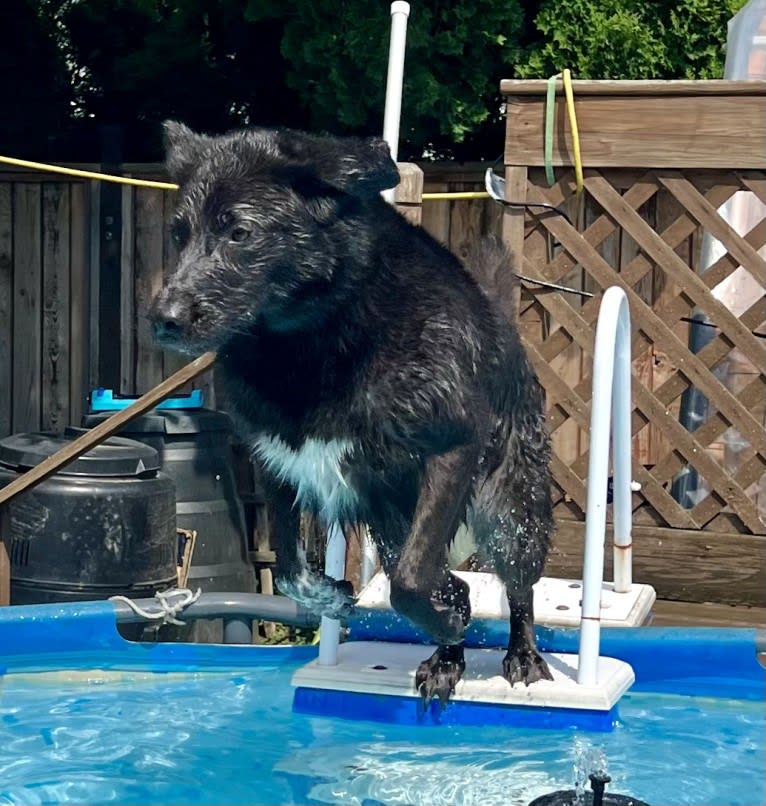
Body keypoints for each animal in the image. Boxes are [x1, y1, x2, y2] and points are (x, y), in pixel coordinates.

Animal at [152, 121, 560, 708]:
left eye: (239, 234)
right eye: (178, 234)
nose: (162, 319)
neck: (311, 341)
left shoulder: (453, 444)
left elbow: (411, 583)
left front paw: (444, 621)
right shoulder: (278, 460)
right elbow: (294, 570)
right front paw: (333, 596)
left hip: (510, 510)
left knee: (517, 588)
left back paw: (520, 655)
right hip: (391, 522)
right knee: (444, 579)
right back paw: (447, 656)